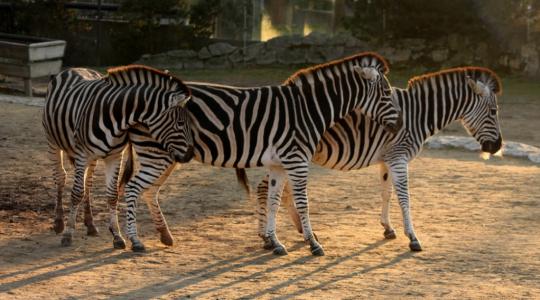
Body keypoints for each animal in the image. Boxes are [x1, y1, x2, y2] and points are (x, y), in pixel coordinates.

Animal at [42, 65, 194, 248]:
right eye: (180, 123)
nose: (190, 154)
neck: (115, 118)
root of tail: (75, 68)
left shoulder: (114, 156)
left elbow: (112, 195)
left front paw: (117, 236)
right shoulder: (82, 155)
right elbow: (76, 193)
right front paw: (68, 234)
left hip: (91, 158)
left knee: (88, 183)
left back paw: (90, 224)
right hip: (52, 142)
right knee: (60, 177)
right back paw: (59, 223)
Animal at [87, 52, 400, 253]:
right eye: (386, 94)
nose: (398, 123)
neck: (307, 110)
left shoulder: (279, 164)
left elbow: (273, 201)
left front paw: (275, 242)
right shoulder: (297, 161)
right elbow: (302, 203)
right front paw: (313, 244)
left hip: (168, 155)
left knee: (145, 191)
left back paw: (160, 236)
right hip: (157, 155)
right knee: (131, 189)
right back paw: (134, 242)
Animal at [251, 66, 504, 253]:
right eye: (493, 112)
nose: (498, 146)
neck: (419, 114)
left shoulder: (387, 159)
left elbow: (387, 193)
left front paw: (388, 228)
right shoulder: (399, 157)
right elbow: (404, 198)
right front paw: (412, 238)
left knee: (272, 190)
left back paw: (285, 236)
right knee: (267, 189)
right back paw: (274, 237)